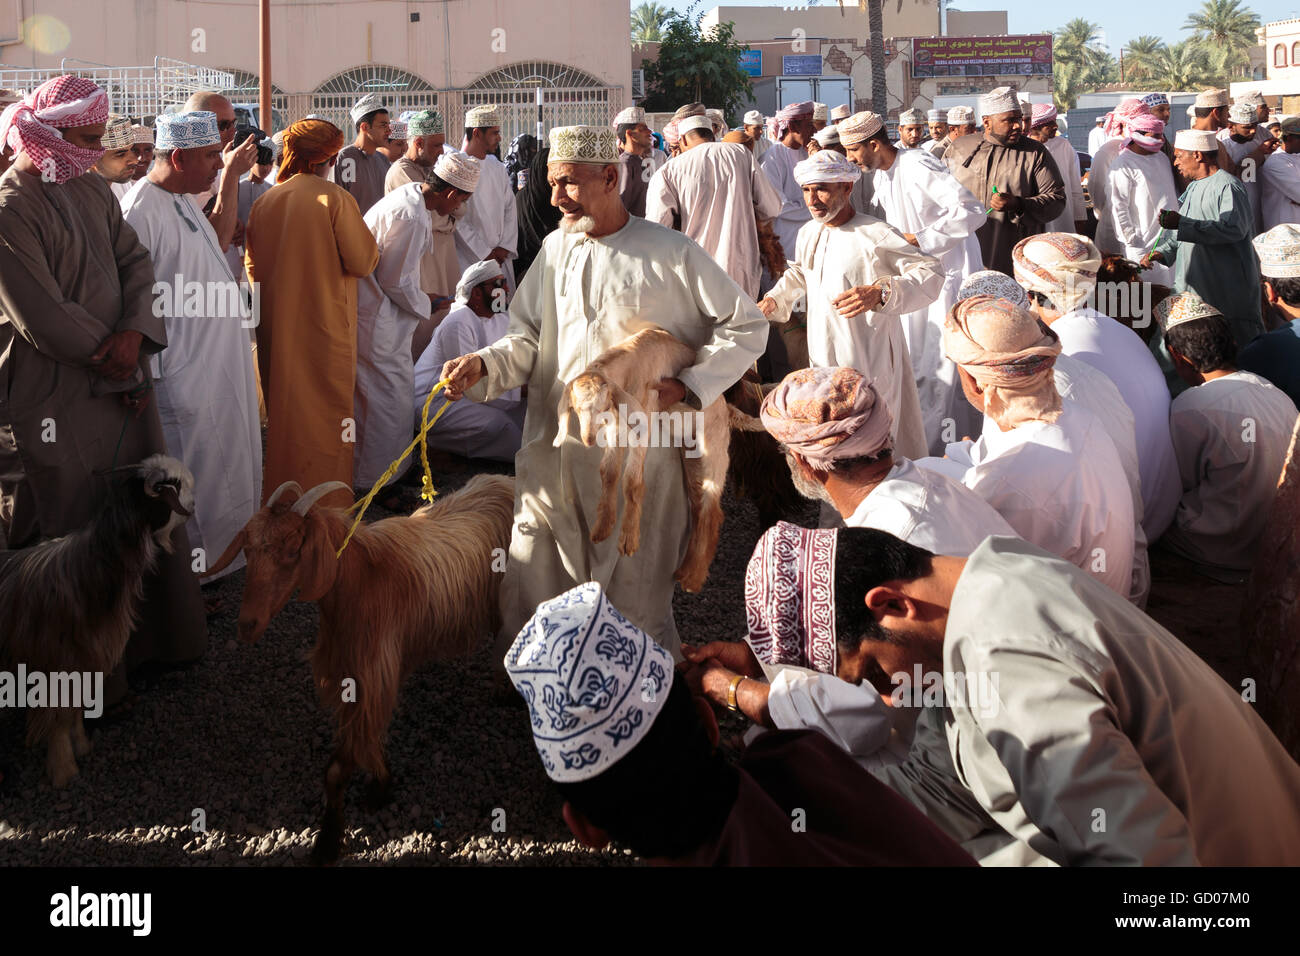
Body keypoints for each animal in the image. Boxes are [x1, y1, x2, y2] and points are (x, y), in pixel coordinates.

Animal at [202, 473, 512, 868]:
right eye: (248, 548)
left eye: (294, 547)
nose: (246, 626)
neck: (362, 583)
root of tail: (504, 480)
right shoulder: (353, 677)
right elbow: (366, 742)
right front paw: (382, 780)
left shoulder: (372, 679)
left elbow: (337, 769)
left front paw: (329, 842)